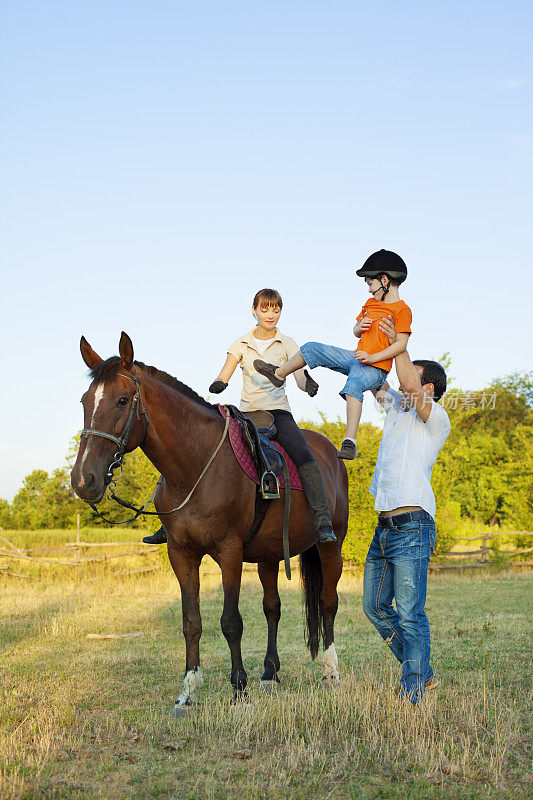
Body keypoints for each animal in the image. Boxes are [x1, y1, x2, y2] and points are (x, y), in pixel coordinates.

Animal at [70, 334, 350, 716]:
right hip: (268, 555)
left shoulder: (229, 552)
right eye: (85, 401)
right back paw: (269, 674)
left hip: (329, 545)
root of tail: (331, 453)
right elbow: (192, 622)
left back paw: (331, 671)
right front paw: (188, 692)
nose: (84, 480)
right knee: (273, 608)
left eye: (122, 400)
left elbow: (231, 622)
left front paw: (239, 689)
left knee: (327, 602)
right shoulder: (181, 553)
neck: (195, 466)